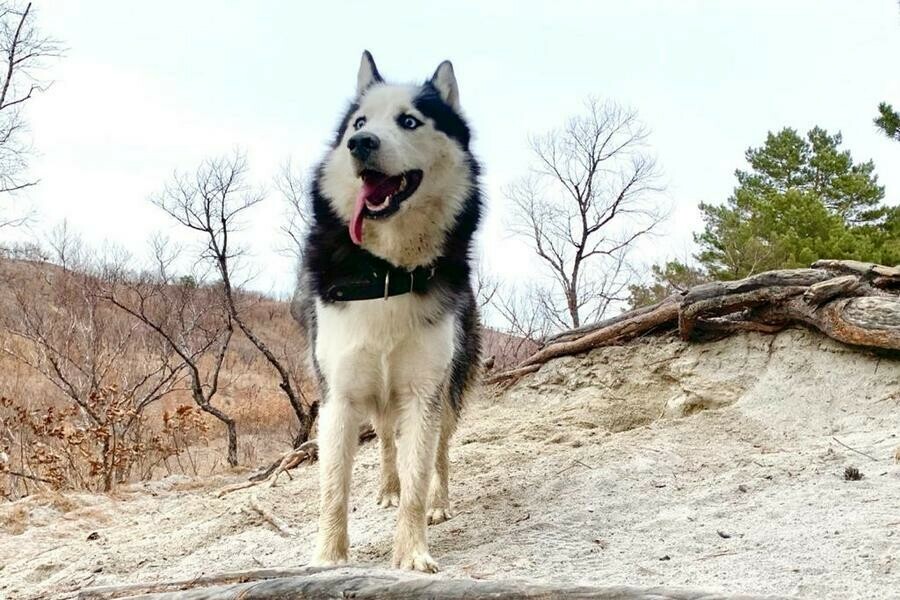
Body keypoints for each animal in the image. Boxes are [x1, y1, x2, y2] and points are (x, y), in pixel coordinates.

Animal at [292, 51, 482, 572]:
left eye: (409, 121)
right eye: (358, 123)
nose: (360, 144)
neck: (386, 272)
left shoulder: (423, 393)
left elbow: (421, 472)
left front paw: (412, 552)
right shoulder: (338, 396)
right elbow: (333, 489)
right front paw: (328, 558)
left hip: (449, 387)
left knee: (439, 449)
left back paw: (439, 501)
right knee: (385, 442)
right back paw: (387, 488)